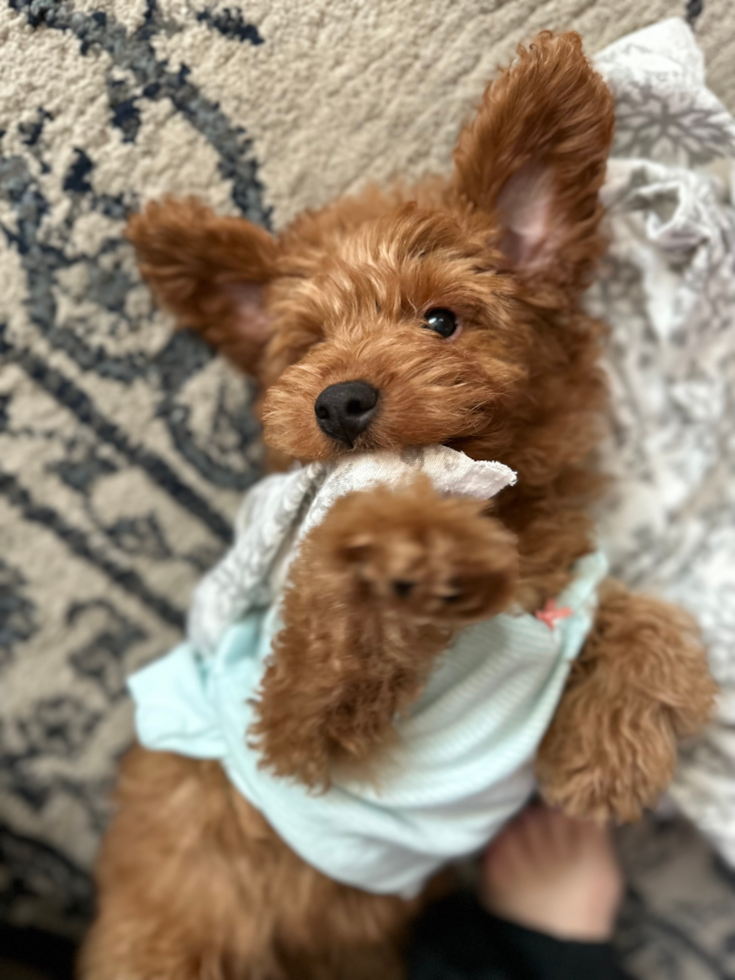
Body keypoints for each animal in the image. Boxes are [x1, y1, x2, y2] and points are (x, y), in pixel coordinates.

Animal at [80, 30, 712, 980]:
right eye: (306, 346)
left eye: (441, 320)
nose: (337, 400)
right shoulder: (290, 735)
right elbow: (325, 629)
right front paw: (405, 544)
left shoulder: (567, 589)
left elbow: (653, 621)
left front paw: (607, 754)